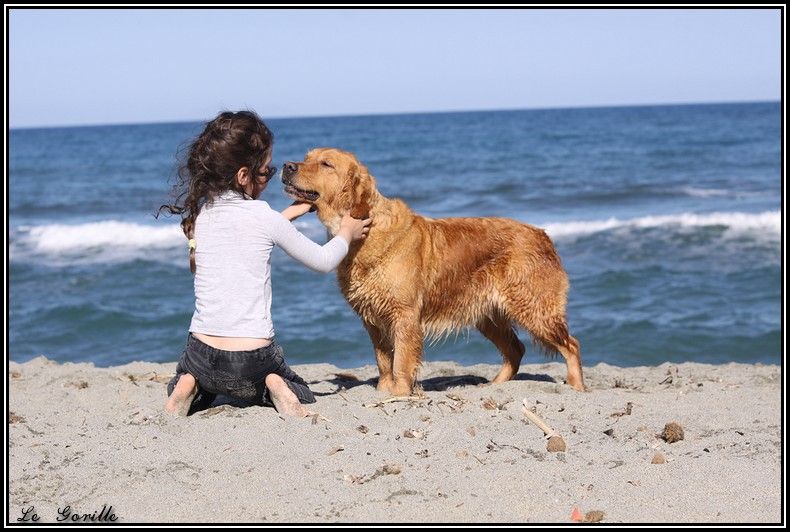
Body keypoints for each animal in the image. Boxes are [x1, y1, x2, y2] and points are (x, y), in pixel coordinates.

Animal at [282, 149, 584, 394]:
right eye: (307, 157)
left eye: (326, 164)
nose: (287, 165)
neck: (367, 231)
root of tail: (542, 234)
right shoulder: (372, 318)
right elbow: (383, 360)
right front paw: (383, 390)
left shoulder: (404, 315)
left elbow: (401, 360)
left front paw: (399, 393)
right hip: (488, 315)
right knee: (516, 349)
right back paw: (494, 386)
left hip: (533, 308)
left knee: (571, 345)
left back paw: (576, 386)